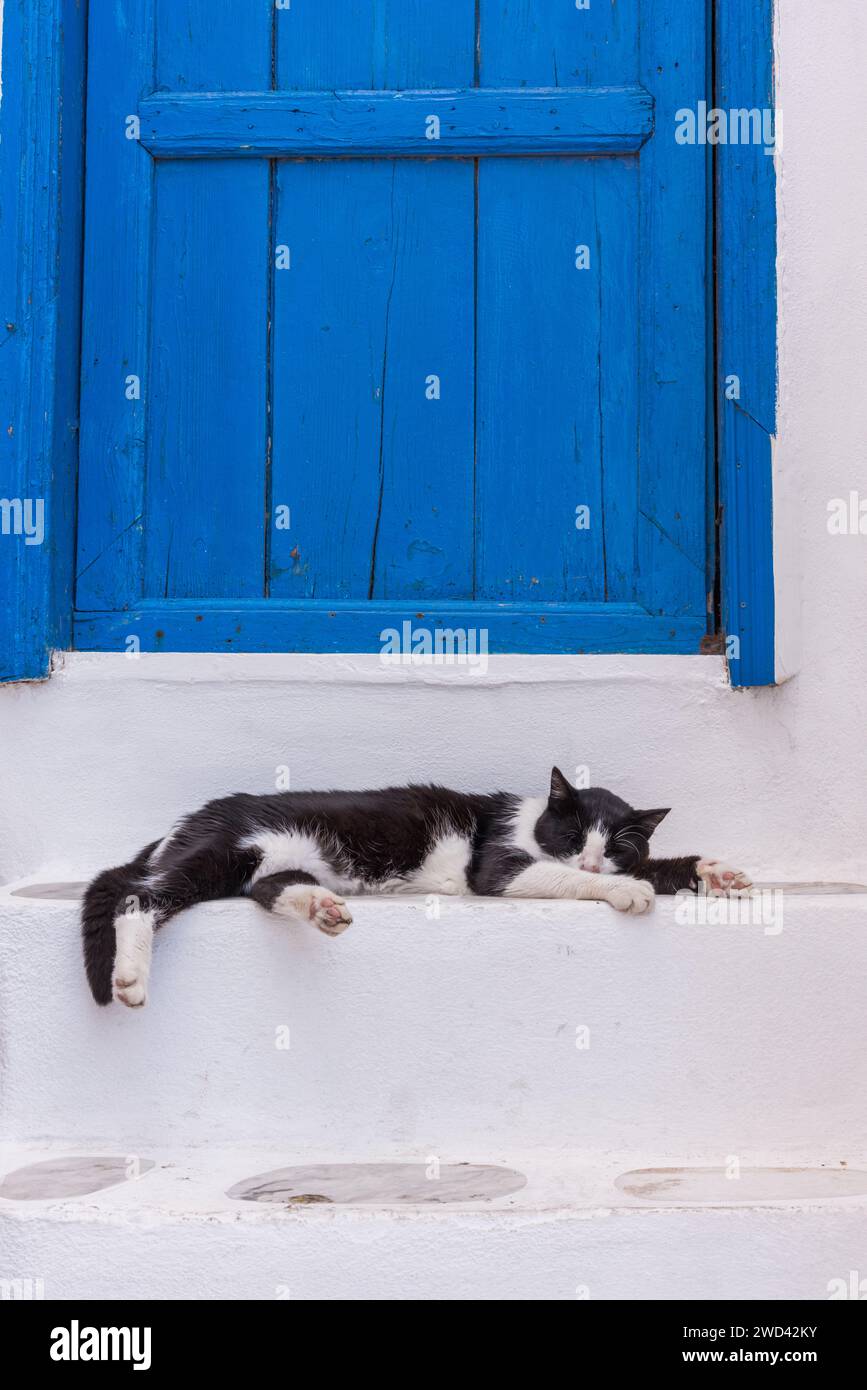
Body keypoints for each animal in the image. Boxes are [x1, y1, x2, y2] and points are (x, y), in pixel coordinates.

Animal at [79, 772, 750, 1011]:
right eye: (573, 834)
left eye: (617, 844)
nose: (591, 854)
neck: (530, 820)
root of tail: (184, 824)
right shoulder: (497, 865)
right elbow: (553, 876)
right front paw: (627, 893)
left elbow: (658, 866)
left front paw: (717, 873)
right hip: (224, 849)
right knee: (137, 895)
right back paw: (130, 976)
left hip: (267, 862)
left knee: (268, 888)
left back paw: (321, 909)